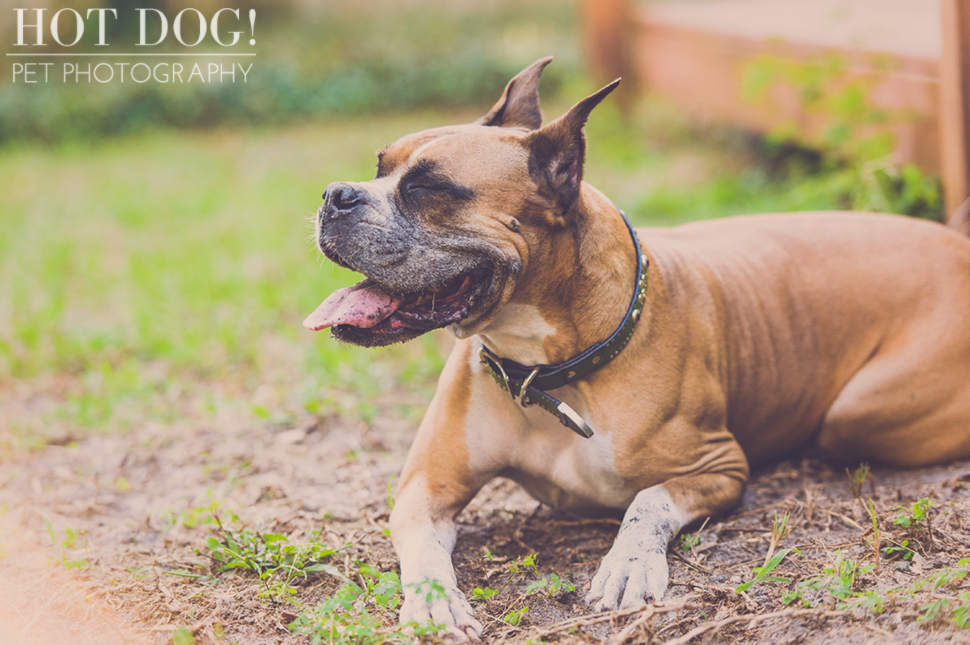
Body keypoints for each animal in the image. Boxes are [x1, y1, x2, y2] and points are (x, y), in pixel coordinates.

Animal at [304, 56, 970, 640]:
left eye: (430, 188)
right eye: (379, 168)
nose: (335, 194)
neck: (549, 371)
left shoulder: (717, 467)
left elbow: (647, 502)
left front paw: (628, 564)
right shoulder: (424, 489)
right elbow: (421, 550)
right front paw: (435, 604)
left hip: (856, 416)